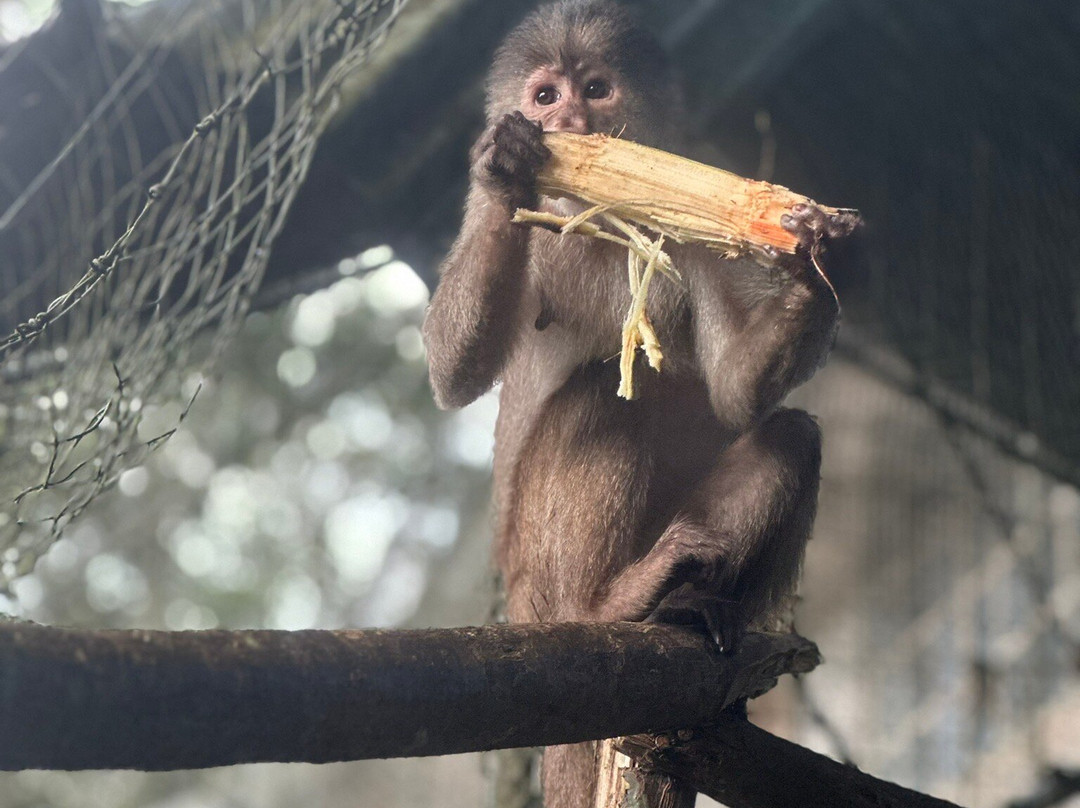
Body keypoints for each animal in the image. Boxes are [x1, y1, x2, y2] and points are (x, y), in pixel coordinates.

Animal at [422, 2, 849, 806]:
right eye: (546, 97)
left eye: (596, 88)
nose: (574, 121)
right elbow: (452, 372)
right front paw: (502, 168)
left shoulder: (696, 225)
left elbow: (735, 389)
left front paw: (810, 257)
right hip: (535, 585)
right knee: (603, 393)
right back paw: (608, 604)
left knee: (791, 437)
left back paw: (685, 611)